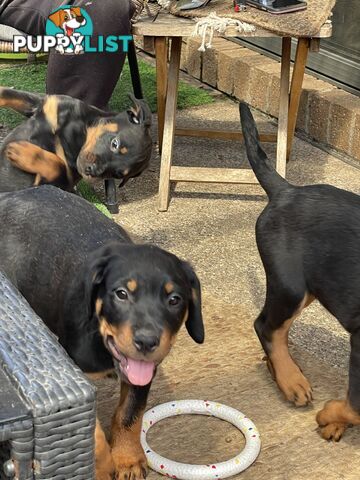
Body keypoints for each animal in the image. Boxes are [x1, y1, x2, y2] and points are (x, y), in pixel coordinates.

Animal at [0, 87, 153, 192]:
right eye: (115, 143)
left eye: (117, 174)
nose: (91, 171)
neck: (78, 133)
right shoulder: (46, 104)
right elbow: (4, 92)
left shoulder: (61, 184)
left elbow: (59, 165)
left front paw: (21, 152)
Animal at [0, 186, 204, 478]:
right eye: (121, 294)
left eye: (174, 299)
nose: (147, 341)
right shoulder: (77, 373)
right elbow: (91, 430)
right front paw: (104, 463)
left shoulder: (143, 370)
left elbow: (130, 413)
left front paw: (127, 459)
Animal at [240, 102, 360, 442]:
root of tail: (287, 190)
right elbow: (356, 405)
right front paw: (330, 416)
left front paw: (335, 422)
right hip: (290, 285)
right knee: (266, 327)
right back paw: (291, 380)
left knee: (277, 329)